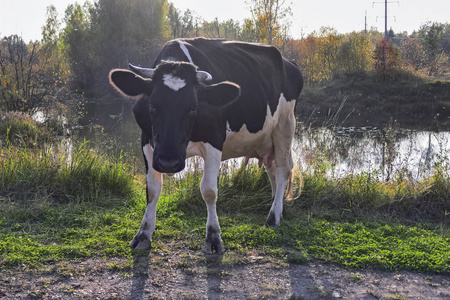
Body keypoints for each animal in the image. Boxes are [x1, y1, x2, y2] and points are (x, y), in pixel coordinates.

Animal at [109, 37, 304, 253]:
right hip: (266, 138)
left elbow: (209, 190)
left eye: (193, 108)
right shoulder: (147, 141)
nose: (169, 162)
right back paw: (276, 206)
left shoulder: (215, 139)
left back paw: (274, 217)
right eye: (152, 106)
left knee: (283, 169)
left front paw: (213, 237)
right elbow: (152, 189)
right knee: (272, 169)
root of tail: (289, 62)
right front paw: (143, 234)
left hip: (285, 125)